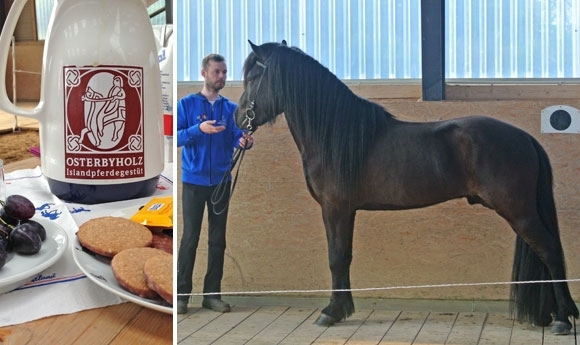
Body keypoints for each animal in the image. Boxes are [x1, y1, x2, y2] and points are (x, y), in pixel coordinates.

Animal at [234, 39, 576, 334]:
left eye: (252, 76)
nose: (239, 118)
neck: (334, 135)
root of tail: (526, 138)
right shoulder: (345, 211)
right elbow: (344, 257)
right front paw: (341, 308)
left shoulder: (335, 208)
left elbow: (336, 257)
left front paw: (331, 312)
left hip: (519, 212)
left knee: (550, 250)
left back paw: (563, 319)